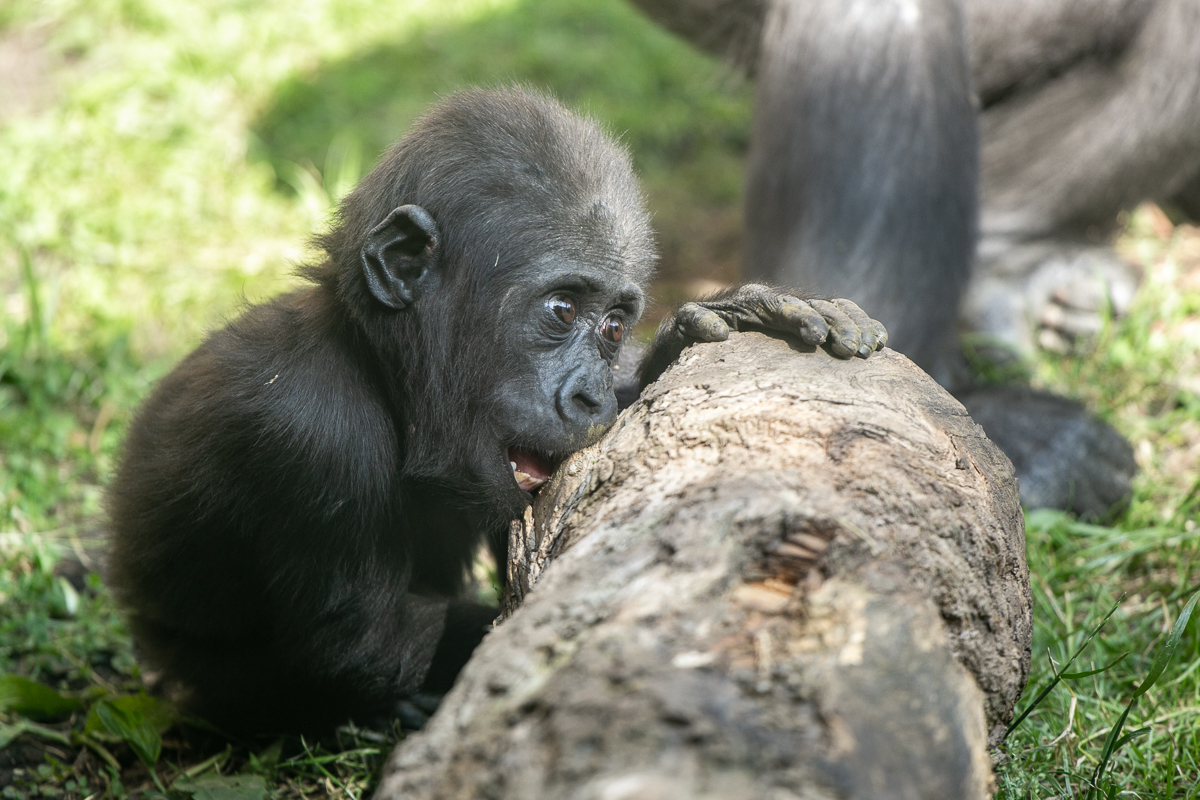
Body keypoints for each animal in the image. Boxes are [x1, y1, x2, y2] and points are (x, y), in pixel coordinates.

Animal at [108, 86, 888, 734]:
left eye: (614, 327)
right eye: (562, 310)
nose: (590, 396)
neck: (379, 372)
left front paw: (714, 319)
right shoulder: (311, 435)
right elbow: (363, 646)